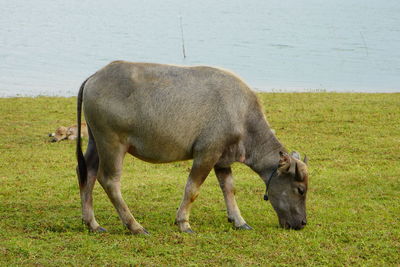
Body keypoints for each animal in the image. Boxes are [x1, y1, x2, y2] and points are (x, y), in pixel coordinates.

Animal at [76, 60, 310, 234]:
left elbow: (229, 188)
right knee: (109, 180)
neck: (242, 116)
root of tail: (94, 77)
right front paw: (184, 223)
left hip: (95, 141)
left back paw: (93, 223)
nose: (302, 223)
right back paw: (135, 226)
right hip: (112, 143)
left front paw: (239, 220)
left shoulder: (222, 159)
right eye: (300, 189)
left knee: (86, 172)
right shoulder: (207, 154)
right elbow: (192, 189)